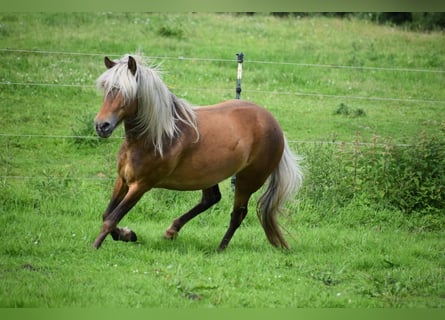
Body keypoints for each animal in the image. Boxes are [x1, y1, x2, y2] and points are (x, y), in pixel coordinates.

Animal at [92, 54, 304, 250]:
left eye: (125, 92)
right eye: (106, 88)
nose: (102, 126)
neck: (156, 137)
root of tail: (274, 124)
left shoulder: (141, 185)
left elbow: (112, 218)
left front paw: (95, 246)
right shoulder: (123, 180)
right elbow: (107, 214)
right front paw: (128, 234)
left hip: (247, 180)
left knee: (238, 214)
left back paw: (220, 249)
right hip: (209, 175)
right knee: (211, 199)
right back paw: (172, 230)